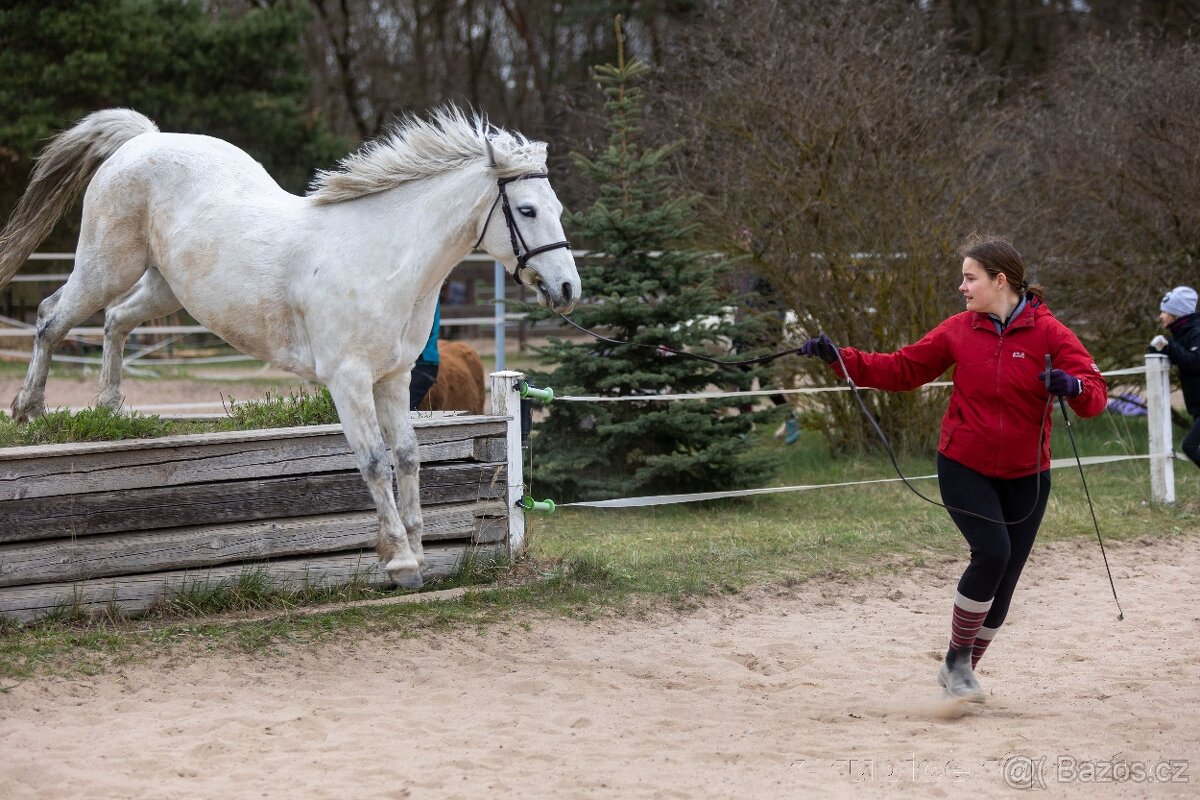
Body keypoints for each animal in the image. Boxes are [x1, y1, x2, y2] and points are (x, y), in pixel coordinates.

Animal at [0, 107, 580, 588]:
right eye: (527, 210)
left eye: (556, 206)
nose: (568, 289)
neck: (386, 259)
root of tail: (143, 140)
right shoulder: (349, 381)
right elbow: (375, 462)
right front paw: (399, 561)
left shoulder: (392, 379)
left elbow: (409, 457)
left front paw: (416, 551)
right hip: (105, 268)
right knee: (51, 317)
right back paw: (29, 411)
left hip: (166, 288)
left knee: (115, 321)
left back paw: (110, 407)